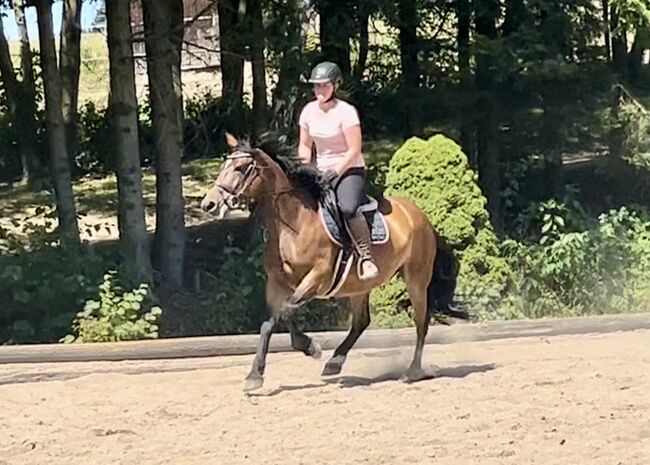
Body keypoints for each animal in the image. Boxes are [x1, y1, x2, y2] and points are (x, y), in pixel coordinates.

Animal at [199, 132, 466, 390]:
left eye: (241, 167)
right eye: (224, 166)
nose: (208, 203)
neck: (294, 225)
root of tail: (420, 215)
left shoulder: (317, 277)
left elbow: (284, 313)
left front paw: (308, 348)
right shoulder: (276, 283)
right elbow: (273, 321)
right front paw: (257, 374)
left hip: (416, 279)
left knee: (422, 321)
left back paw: (413, 371)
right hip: (360, 286)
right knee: (361, 322)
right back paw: (335, 362)